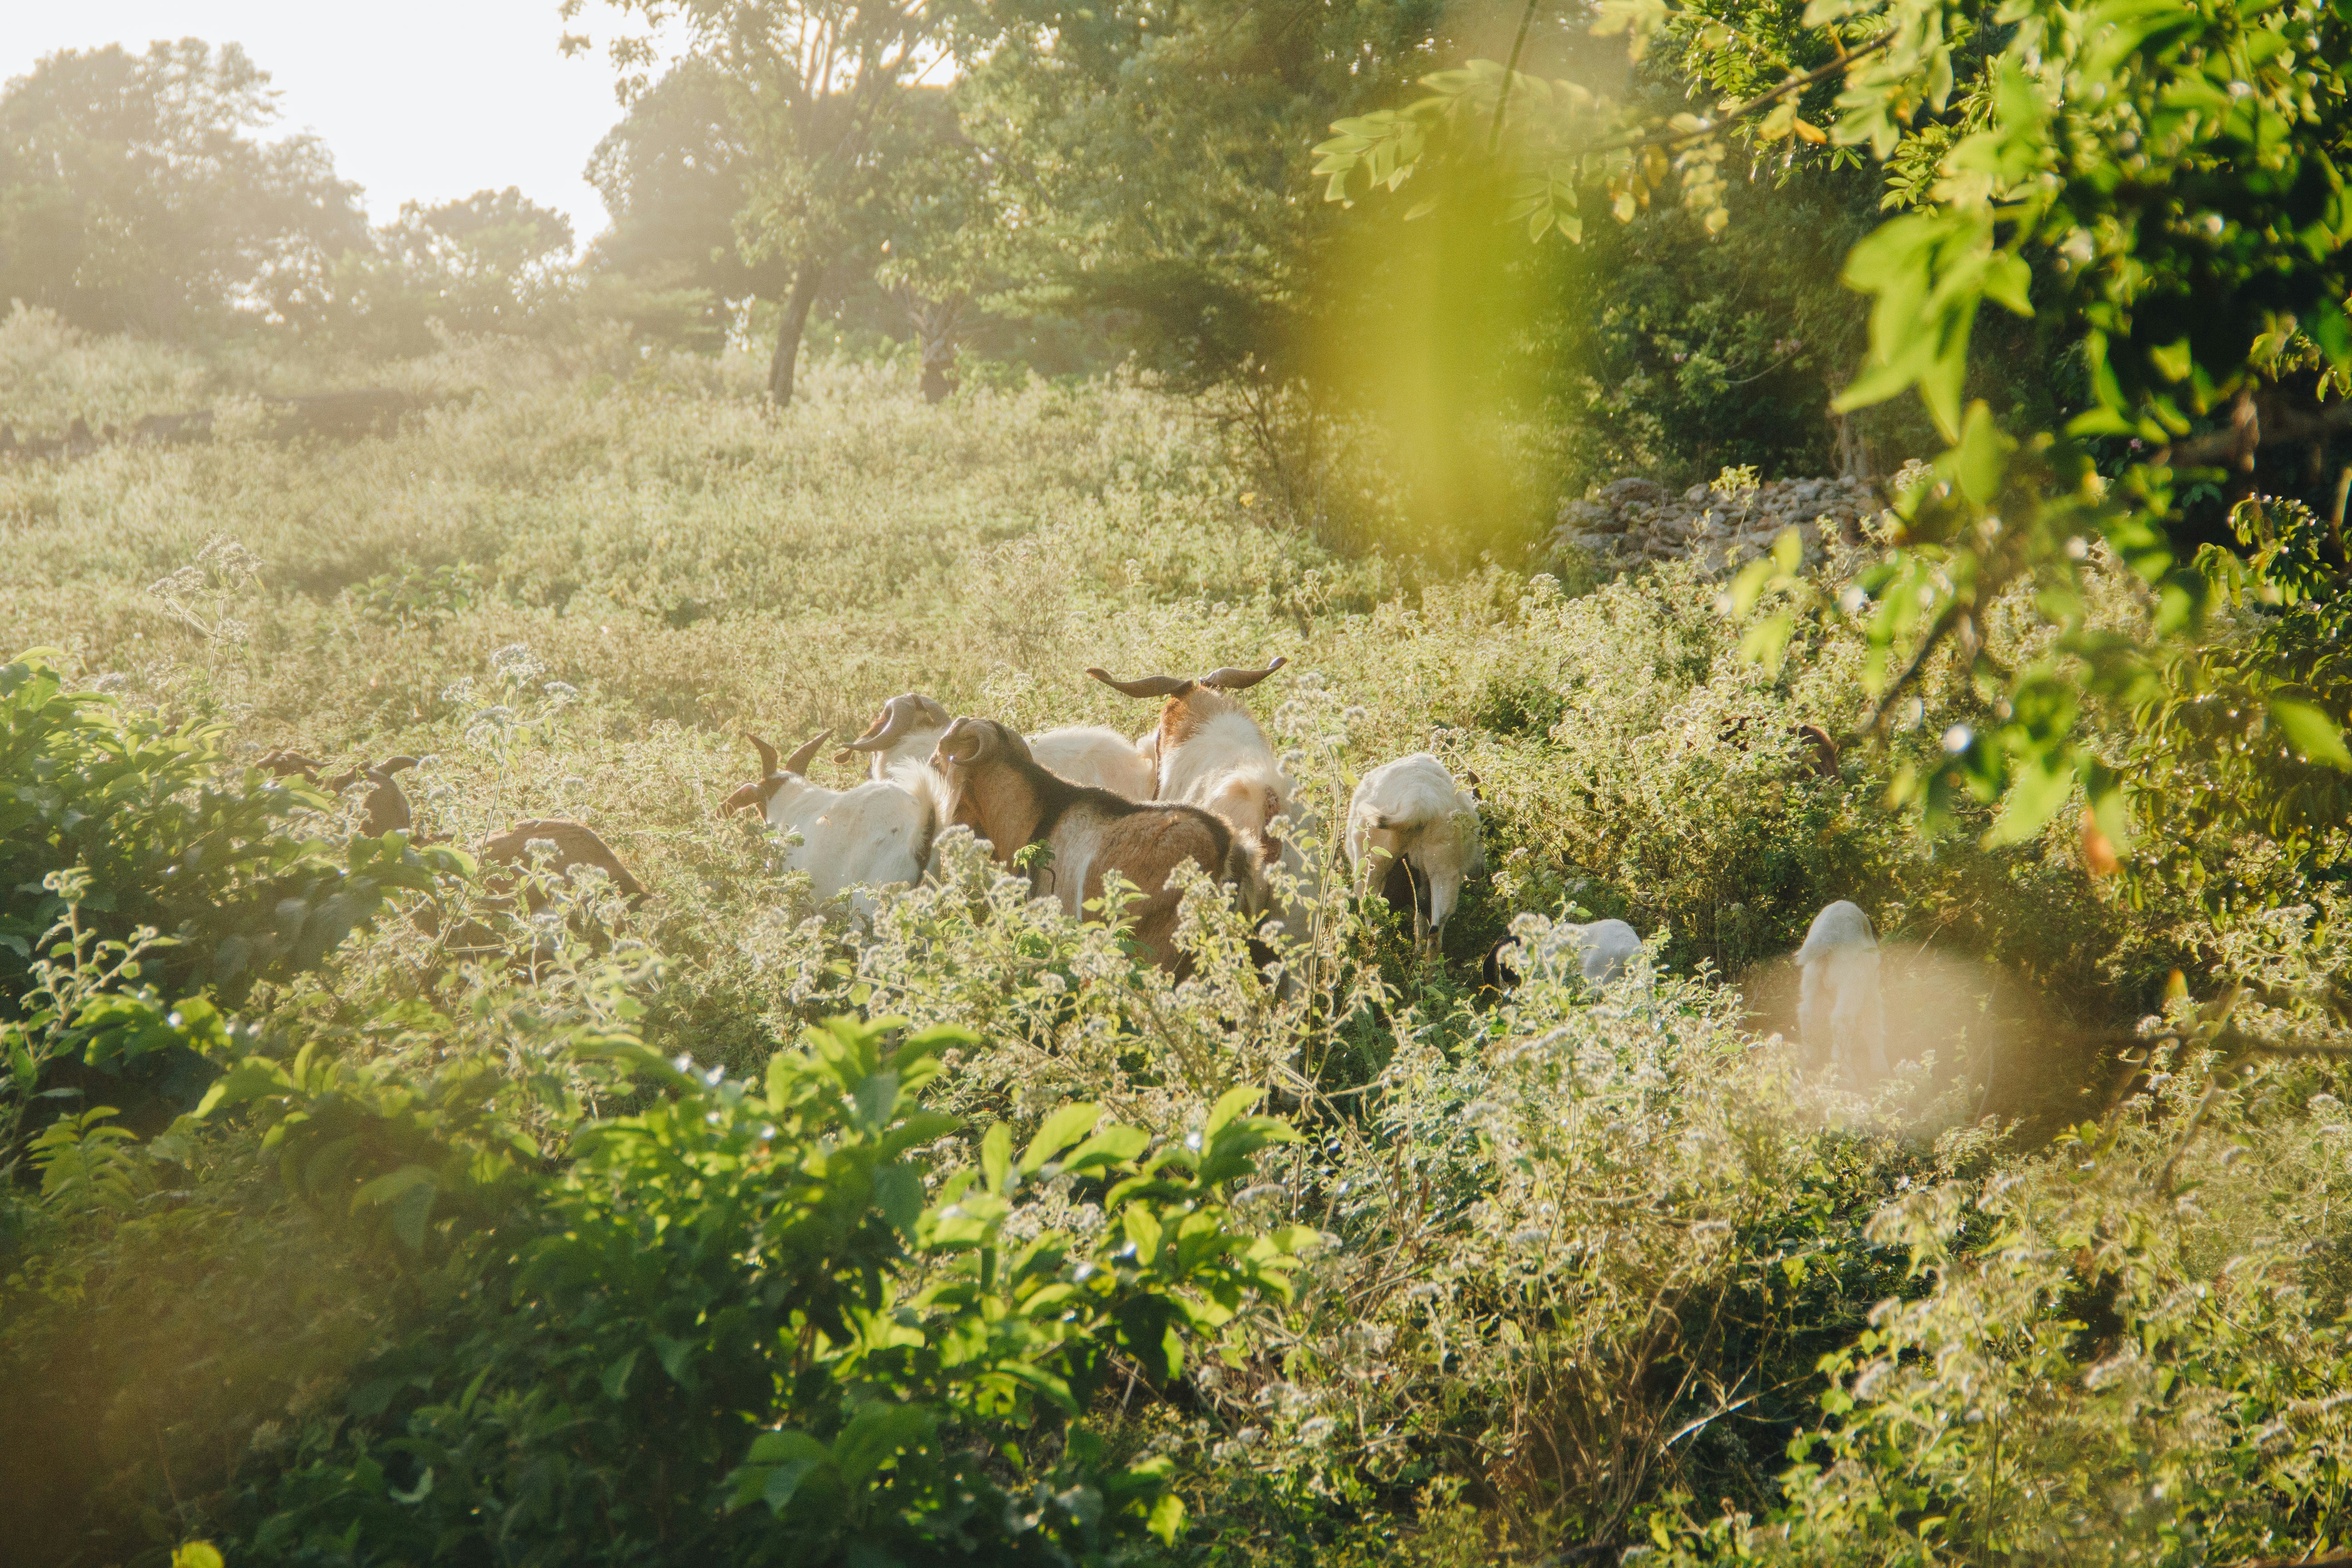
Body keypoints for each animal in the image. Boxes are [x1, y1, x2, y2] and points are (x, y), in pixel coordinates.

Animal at [1346, 753, 1485, 955]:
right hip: (1446, 872)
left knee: (1372, 921)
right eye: (1481, 832)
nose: (1480, 871)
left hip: (1373, 868)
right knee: (1435, 929)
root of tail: (1417, 804)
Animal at [1795, 900, 1890, 1082]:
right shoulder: (1871, 991)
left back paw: (1810, 1062)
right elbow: (1873, 1025)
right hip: (1852, 981)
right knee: (1842, 1020)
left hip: (1811, 979)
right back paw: (1847, 1074)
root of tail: (1827, 933)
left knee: (1806, 1013)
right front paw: (1880, 1068)